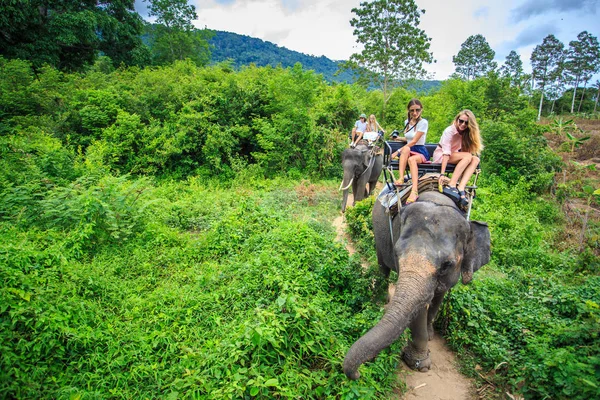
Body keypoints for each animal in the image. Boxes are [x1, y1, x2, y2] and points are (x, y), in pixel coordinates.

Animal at [344, 189, 490, 380]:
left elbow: (438, 296)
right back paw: (381, 300)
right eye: (397, 253)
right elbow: (419, 309)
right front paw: (420, 365)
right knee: (382, 263)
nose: (358, 374)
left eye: (447, 264)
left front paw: (430, 334)